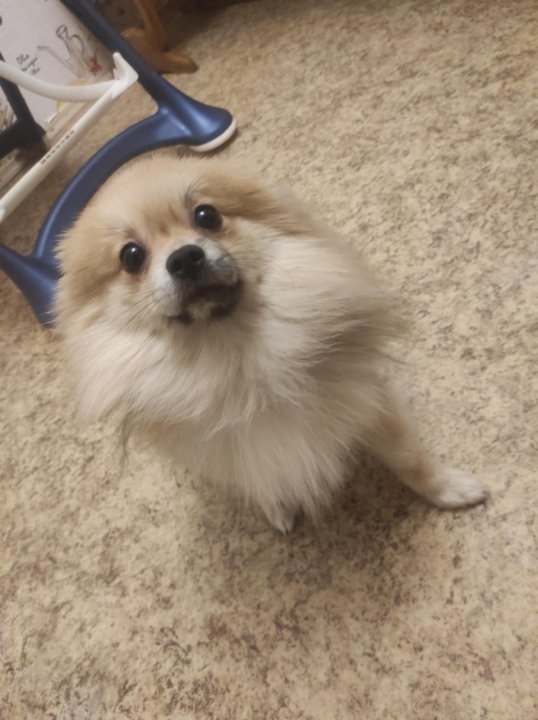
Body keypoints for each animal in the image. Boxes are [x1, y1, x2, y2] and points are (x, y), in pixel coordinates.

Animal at [56, 153, 487, 532]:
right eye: (131, 256)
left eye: (207, 216)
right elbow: (257, 477)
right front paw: (277, 506)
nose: (184, 258)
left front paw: (448, 489)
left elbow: (409, 457)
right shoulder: (230, 450)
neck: (238, 356)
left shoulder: (370, 399)